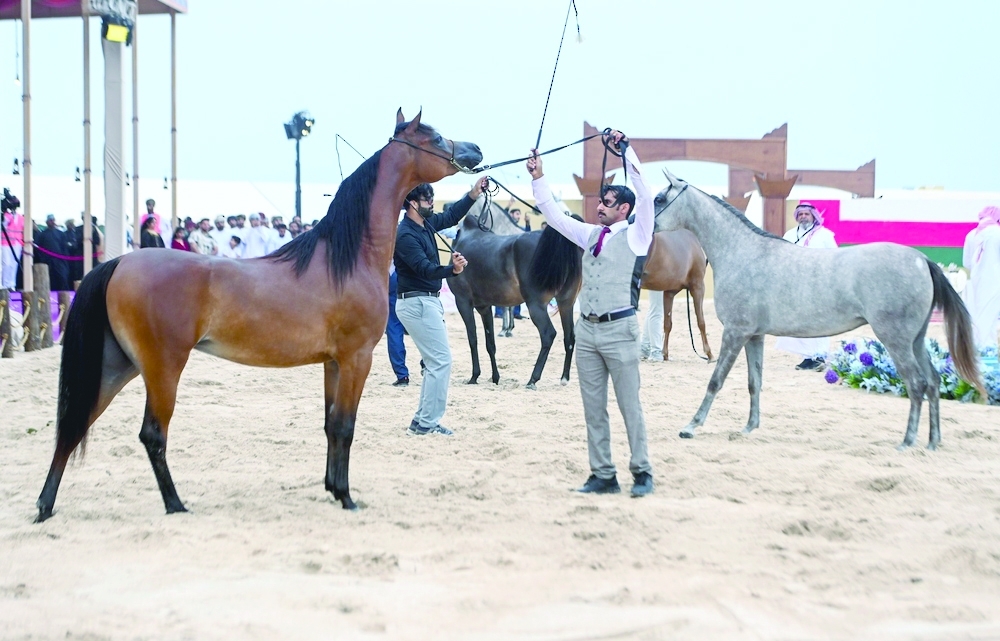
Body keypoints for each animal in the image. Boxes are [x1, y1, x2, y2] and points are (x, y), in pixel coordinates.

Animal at [34, 110, 482, 522]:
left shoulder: (333, 364)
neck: (346, 258)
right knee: (152, 434)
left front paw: (332, 488)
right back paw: (175, 505)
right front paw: (347, 498)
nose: (475, 151)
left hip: (116, 365)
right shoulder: (357, 359)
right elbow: (345, 426)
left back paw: (45, 506)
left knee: (73, 426)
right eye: (436, 137)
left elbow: (329, 425)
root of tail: (120, 262)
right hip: (162, 368)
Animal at [448, 201, 583, 388]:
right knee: (569, 337)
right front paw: (495, 377)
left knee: (548, 334)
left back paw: (533, 379)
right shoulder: (484, 306)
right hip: (566, 303)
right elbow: (490, 343)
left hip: (536, 305)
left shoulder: (463, 302)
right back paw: (564, 378)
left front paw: (474, 376)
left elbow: (472, 339)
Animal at [639, 228, 713, 361]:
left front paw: (665, 354)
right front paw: (709, 353)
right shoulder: (698, 287)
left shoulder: (669, 292)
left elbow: (667, 324)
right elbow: (701, 321)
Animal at [652, 169, 984, 449]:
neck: (742, 252)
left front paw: (691, 426)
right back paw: (932, 442)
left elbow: (715, 380)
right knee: (933, 382)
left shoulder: (735, 333)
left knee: (916, 384)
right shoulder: (754, 336)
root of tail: (921, 260)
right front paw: (748, 427)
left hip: (896, 340)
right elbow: (754, 382)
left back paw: (907, 442)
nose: (643, 227)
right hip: (916, 340)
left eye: (659, 199)